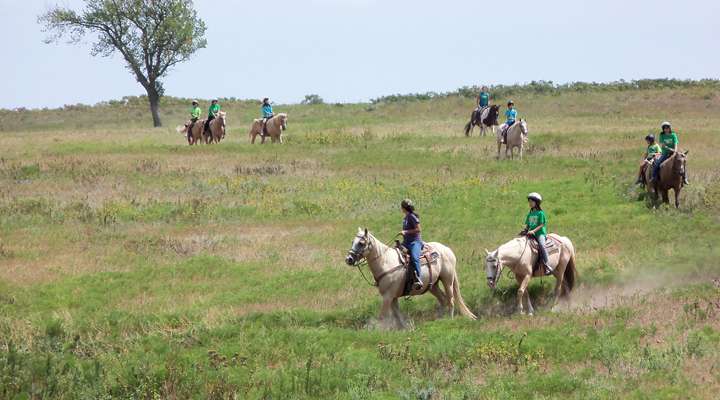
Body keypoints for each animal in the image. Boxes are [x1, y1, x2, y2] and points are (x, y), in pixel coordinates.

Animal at [344, 228, 478, 328]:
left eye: (361, 243)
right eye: (352, 241)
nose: (349, 259)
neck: (385, 262)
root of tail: (447, 249)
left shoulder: (387, 296)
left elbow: (383, 316)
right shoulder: (392, 297)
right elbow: (397, 315)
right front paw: (403, 328)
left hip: (447, 280)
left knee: (450, 300)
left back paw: (449, 320)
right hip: (432, 286)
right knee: (443, 300)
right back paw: (439, 320)